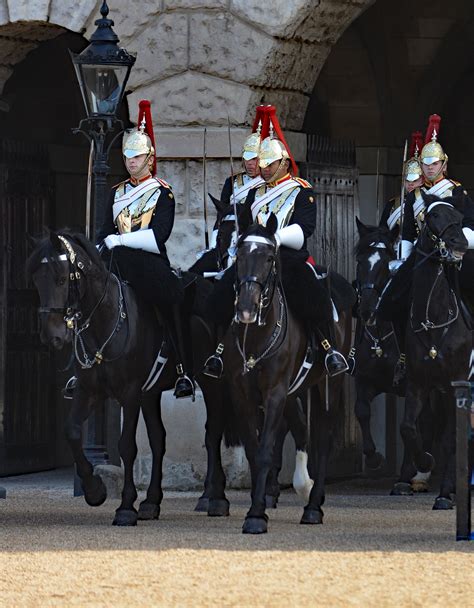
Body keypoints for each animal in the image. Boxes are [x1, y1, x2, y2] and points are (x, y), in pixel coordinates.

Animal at [27, 230, 230, 524]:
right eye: (36, 280)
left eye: (61, 278)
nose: (51, 337)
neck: (106, 320)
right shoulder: (89, 390)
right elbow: (72, 431)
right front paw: (95, 490)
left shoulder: (130, 393)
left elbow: (126, 447)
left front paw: (125, 507)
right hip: (152, 392)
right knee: (159, 439)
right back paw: (152, 502)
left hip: (212, 381)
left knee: (213, 432)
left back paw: (215, 499)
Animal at [220, 217, 350, 532]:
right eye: (239, 256)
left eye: (269, 257)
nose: (246, 310)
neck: (255, 336)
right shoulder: (242, 395)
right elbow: (254, 451)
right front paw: (258, 505)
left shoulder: (275, 393)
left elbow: (267, 448)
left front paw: (256, 515)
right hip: (295, 391)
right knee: (302, 428)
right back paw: (303, 486)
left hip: (329, 384)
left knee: (323, 439)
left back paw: (313, 506)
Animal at [392, 196, 470, 508]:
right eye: (434, 216)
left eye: (460, 217)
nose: (460, 244)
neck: (433, 319)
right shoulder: (418, 384)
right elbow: (407, 427)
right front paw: (423, 463)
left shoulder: (455, 386)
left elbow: (452, 439)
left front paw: (446, 493)